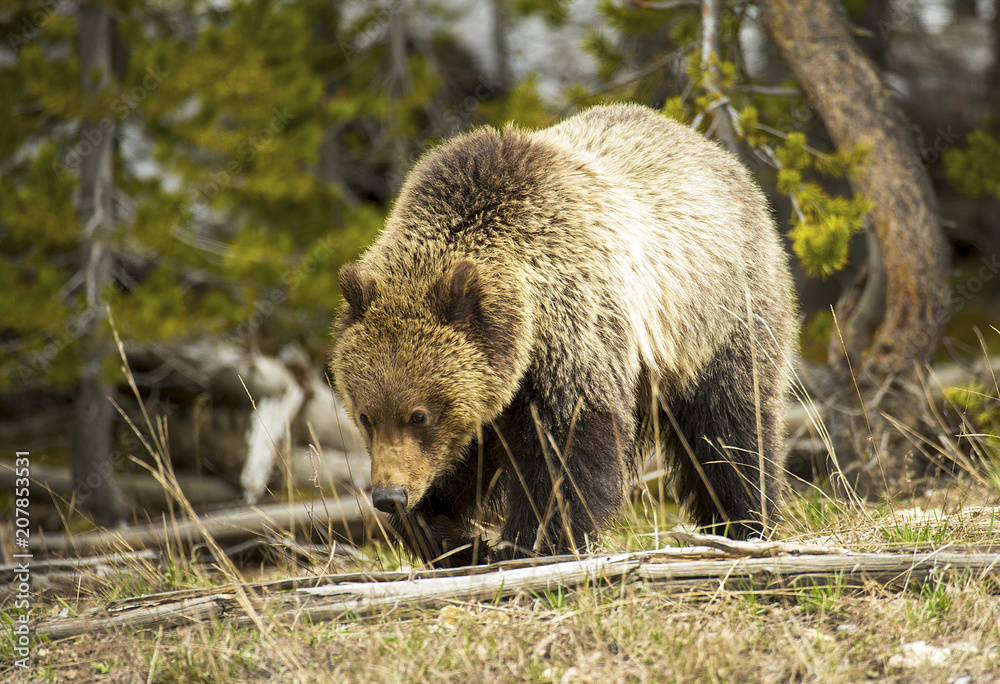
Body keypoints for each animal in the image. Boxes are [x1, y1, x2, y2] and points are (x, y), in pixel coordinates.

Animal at [330, 103, 796, 567]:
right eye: (365, 416)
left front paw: (531, 542)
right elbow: (462, 461)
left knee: (730, 427)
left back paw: (745, 523)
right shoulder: (491, 392)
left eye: (419, 415)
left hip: (719, 316)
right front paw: (447, 536)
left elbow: (569, 451)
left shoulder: (578, 330)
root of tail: (716, 152)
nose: (389, 495)